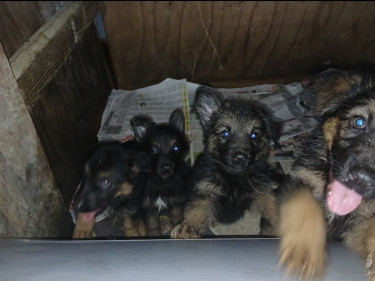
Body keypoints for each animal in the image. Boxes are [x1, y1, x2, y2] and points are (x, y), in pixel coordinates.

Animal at [170, 86, 282, 237]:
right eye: (225, 133)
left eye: (254, 136)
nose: (240, 157)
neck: (234, 176)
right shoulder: (204, 190)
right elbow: (197, 210)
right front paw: (188, 227)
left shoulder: (261, 191)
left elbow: (271, 206)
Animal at [280, 68, 375, 280]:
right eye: (359, 121)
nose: (362, 180)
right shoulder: (298, 181)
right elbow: (305, 203)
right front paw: (304, 249)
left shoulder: (355, 229)